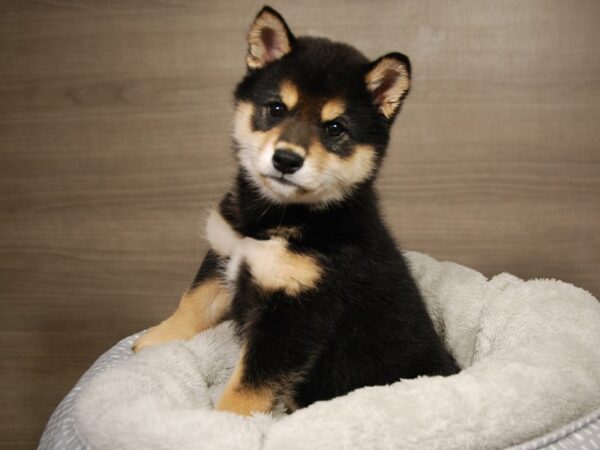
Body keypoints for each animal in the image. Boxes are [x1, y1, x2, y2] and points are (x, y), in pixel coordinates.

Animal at [132, 6, 460, 414]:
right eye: (276, 108)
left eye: (335, 128)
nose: (286, 159)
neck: (275, 218)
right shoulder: (224, 256)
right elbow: (191, 306)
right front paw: (151, 343)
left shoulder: (296, 313)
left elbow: (247, 385)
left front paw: (225, 421)